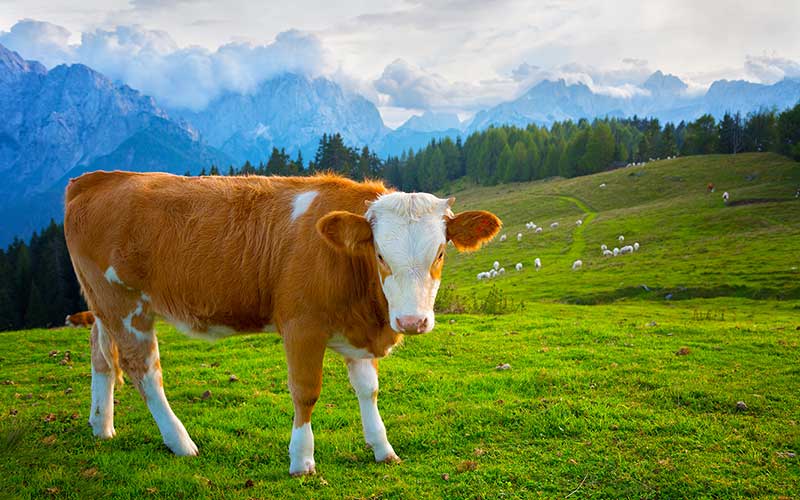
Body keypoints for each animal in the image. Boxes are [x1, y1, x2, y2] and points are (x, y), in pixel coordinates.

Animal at [64, 172, 500, 476]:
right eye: (379, 254)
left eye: (440, 252)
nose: (412, 321)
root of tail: (99, 177)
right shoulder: (300, 326)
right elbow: (306, 393)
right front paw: (302, 460)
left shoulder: (356, 330)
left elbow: (368, 390)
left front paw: (382, 447)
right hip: (124, 303)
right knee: (144, 371)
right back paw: (180, 441)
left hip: (102, 306)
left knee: (102, 358)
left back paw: (101, 425)